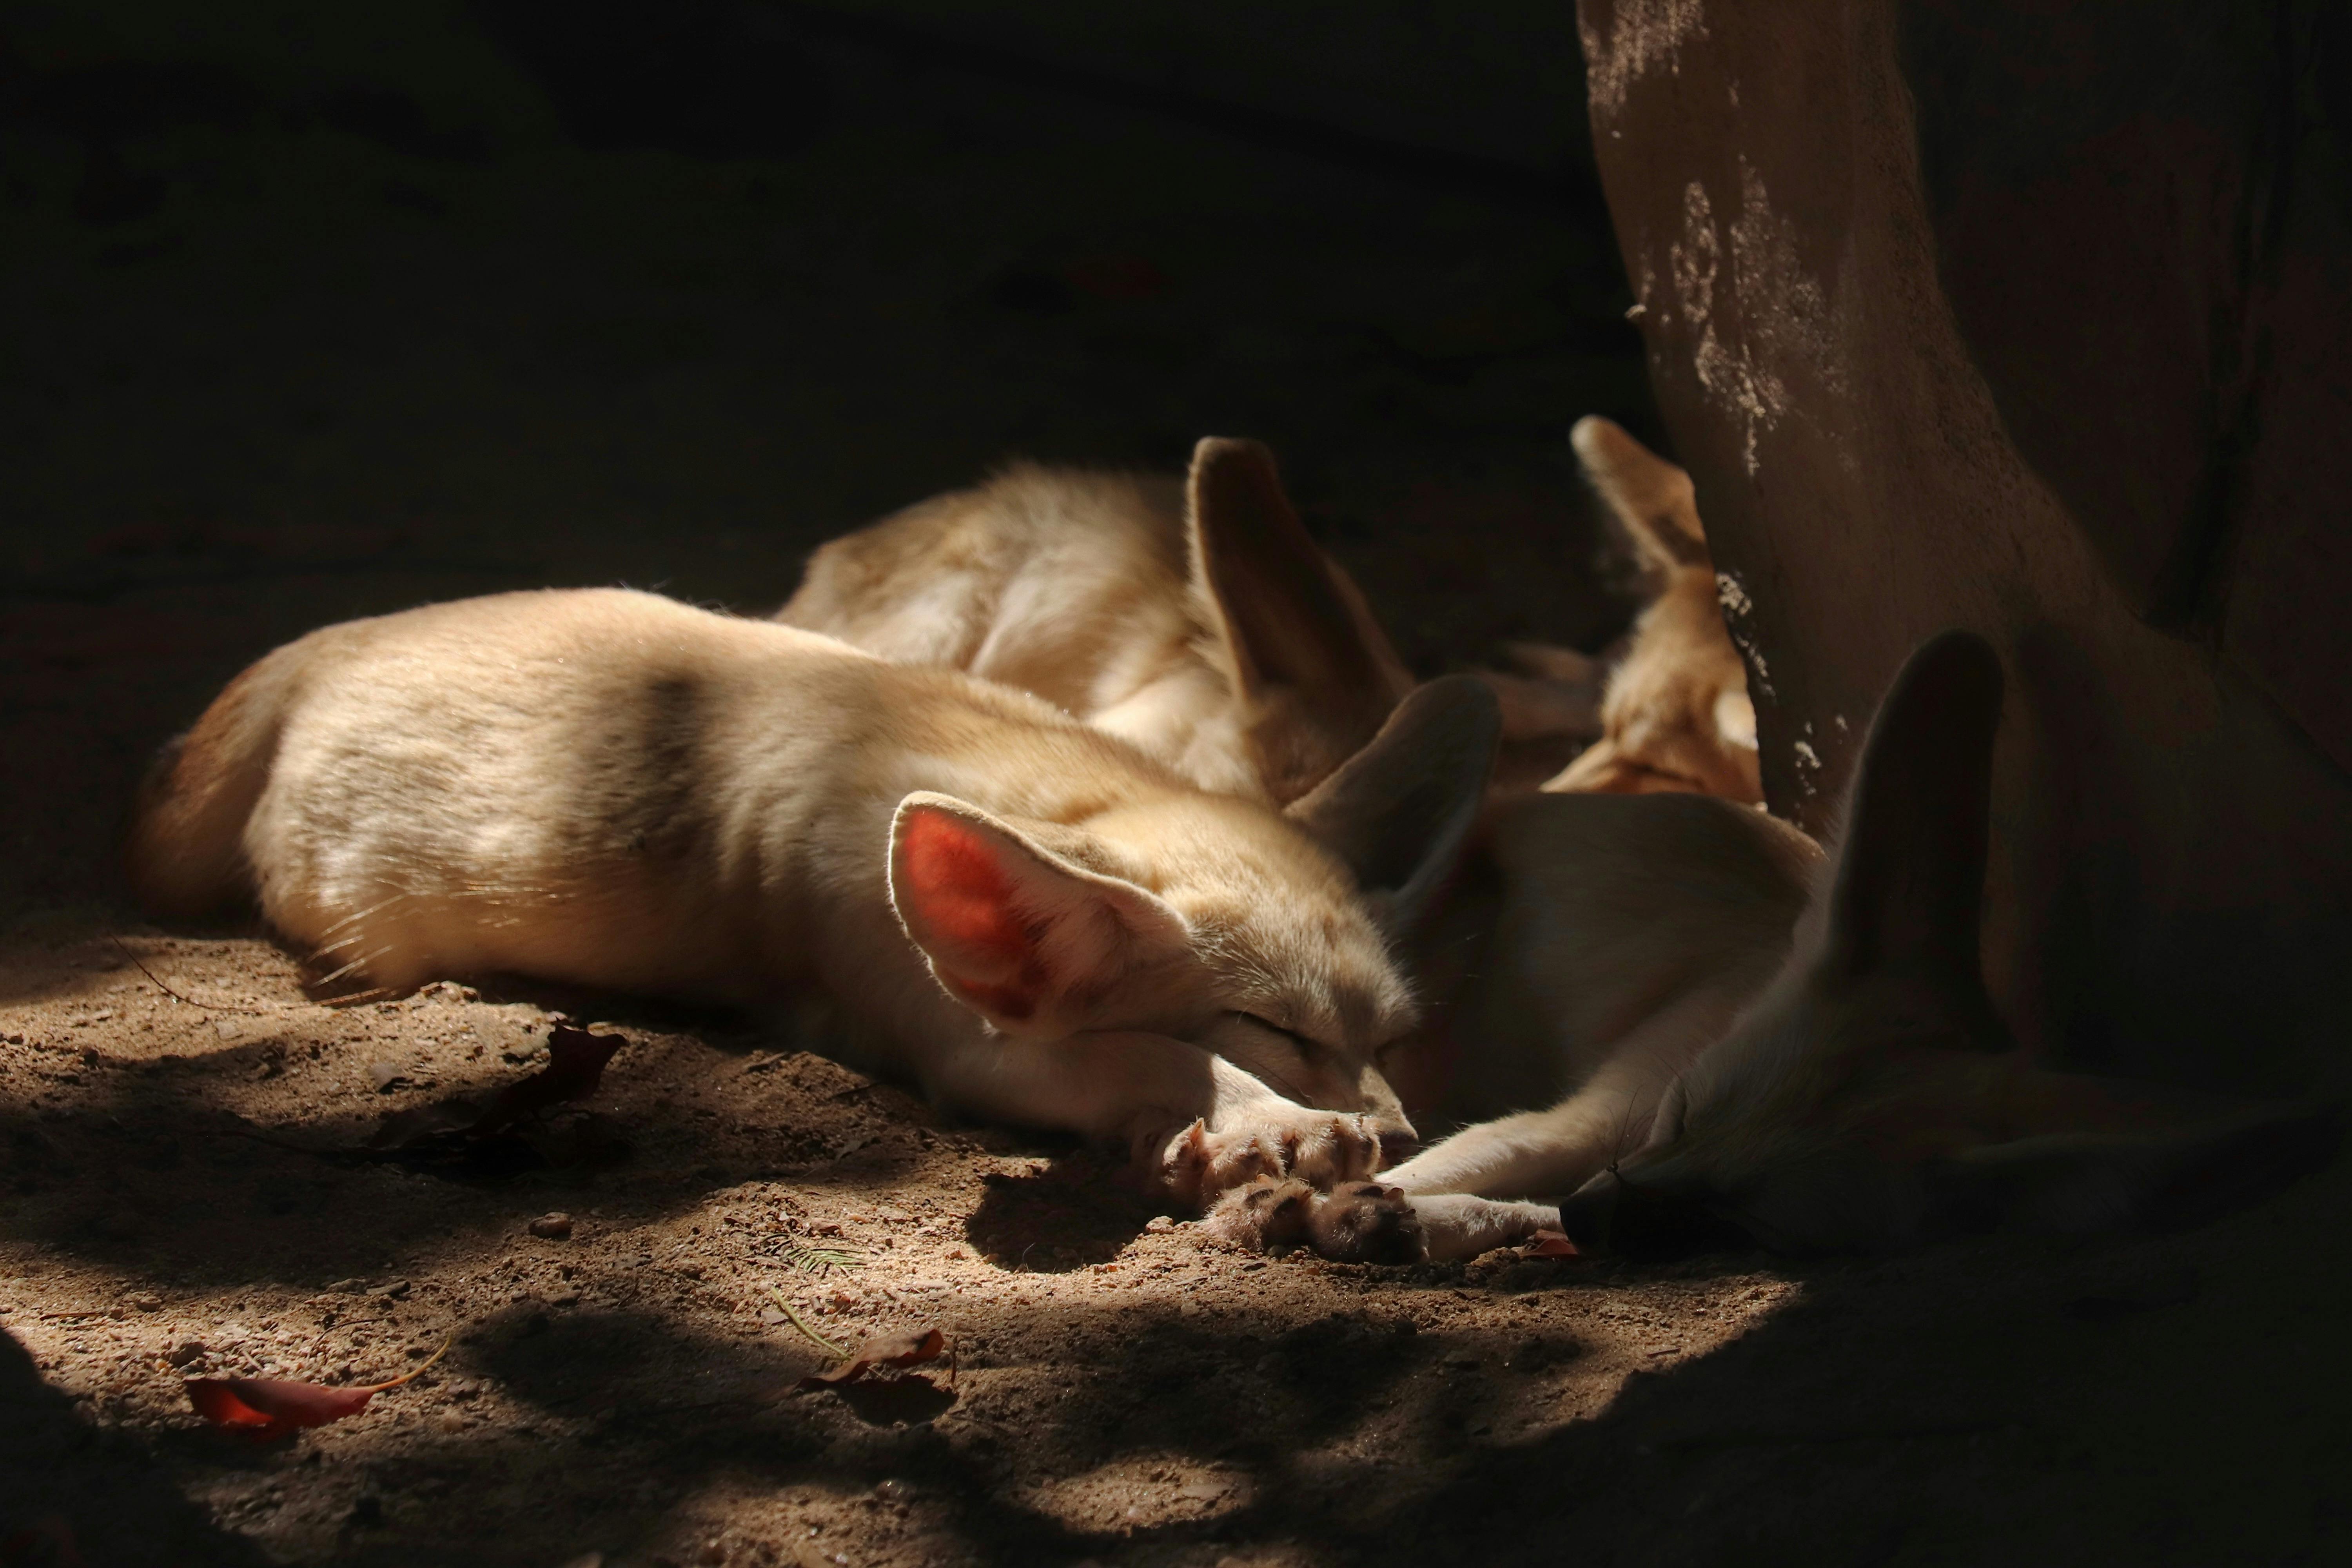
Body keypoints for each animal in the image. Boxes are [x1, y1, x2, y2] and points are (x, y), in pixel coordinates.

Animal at [123, 588, 1501, 1207]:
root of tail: (322, 643)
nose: (1402, 1140)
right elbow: (1155, 1051)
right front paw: (1266, 1120)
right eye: (1274, 1030)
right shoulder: (953, 1036)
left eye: (1390, 1040)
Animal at [1212, 631, 2340, 1262]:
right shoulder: (1596, 1119)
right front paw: (1320, 1208)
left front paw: (1394, 1223)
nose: (1591, 1218)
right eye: (1683, 1117)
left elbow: (1494, 1196)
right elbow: (1469, 1163)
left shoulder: (1607, 1157)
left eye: (1752, 1225)